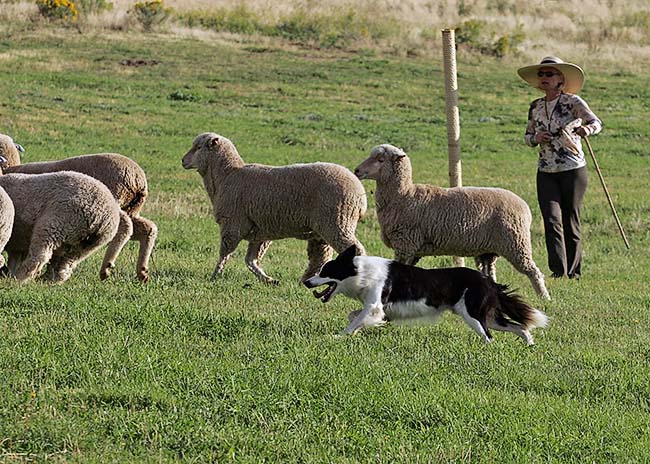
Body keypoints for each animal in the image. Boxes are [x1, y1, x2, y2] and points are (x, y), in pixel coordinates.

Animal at [302, 246, 544, 344]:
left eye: (325, 272)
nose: (306, 282)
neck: (361, 272)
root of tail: (489, 281)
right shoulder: (377, 307)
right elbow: (355, 316)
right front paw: (360, 330)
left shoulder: (374, 304)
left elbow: (355, 320)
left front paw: (339, 336)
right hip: (489, 317)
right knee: (519, 327)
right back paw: (530, 345)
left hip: (474, 316)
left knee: (489, 337)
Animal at [354, 143, 548, 300]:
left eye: (380, 159)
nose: (356, 171)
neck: (403, 195)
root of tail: (524, 206)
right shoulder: (411, 249)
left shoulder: (405, 243)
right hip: (488, 251)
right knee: (490, 273)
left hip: (516, 243)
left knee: (533, 271)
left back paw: (544, 297)